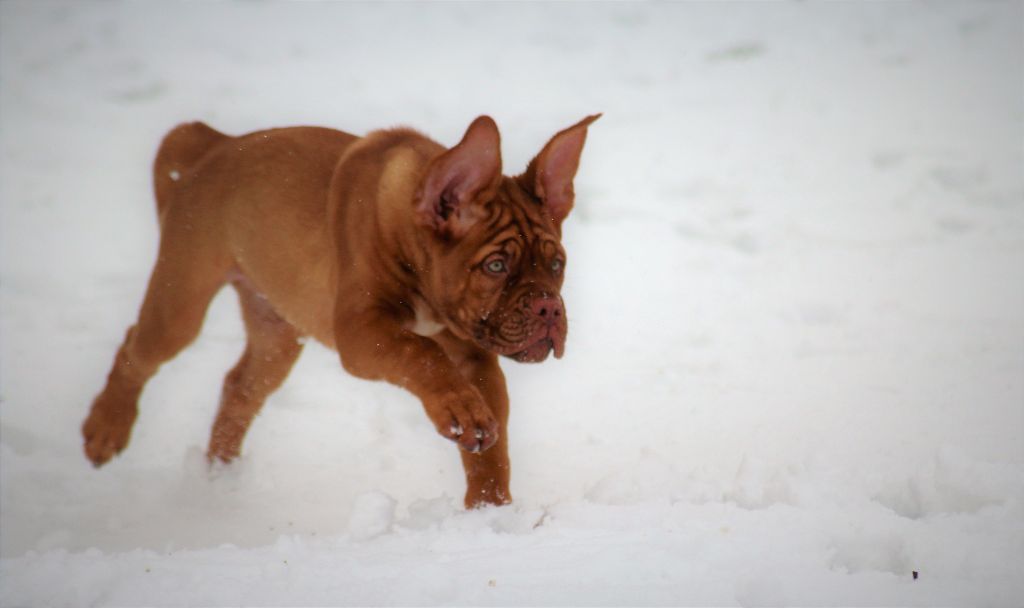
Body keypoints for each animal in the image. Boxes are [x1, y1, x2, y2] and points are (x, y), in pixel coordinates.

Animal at [83, 113, 602, 505]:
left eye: (557, 264)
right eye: (496, 265)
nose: (549, 309)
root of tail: (216, 143)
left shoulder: (475, 357)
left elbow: (492, 445)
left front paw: (489, 508)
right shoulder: (362, 332)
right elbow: (422, 355)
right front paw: (460, 412)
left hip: (276, 333)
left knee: (240, 388)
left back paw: (219, 478)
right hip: (181, 301)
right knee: (136, 350)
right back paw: (106, 429)